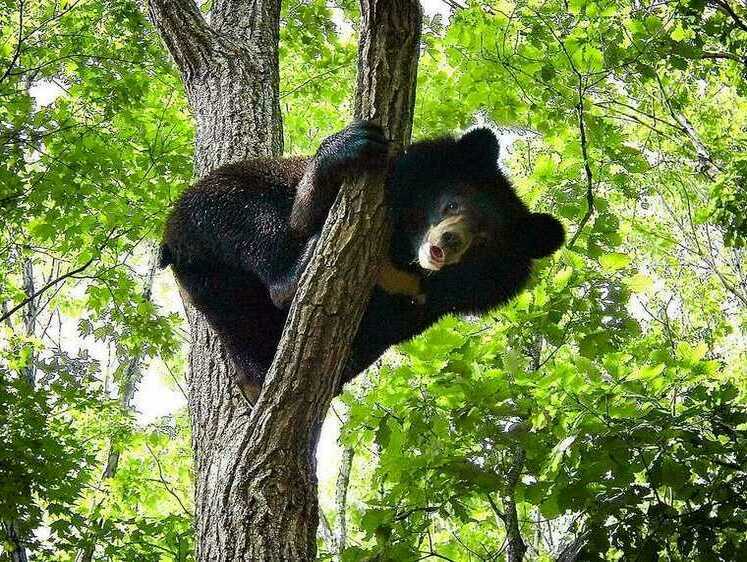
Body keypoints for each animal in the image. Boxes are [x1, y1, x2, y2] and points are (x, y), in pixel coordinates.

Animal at [161, 122, 564, 400]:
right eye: (451, 204)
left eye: (483, 241)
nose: (448, 242)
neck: (403, 256)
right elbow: (302, 215)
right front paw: (348, 146)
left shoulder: (423, 301)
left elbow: (382, 331)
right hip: (204, 220)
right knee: (239, 211)